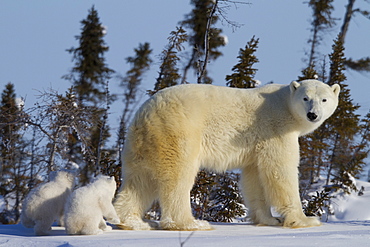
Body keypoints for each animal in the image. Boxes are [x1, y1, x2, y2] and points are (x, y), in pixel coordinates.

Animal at [114, 80, 340, 231]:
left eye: (324, 99)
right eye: (305, 98)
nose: (313, 114)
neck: (284, 104)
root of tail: (147, 113)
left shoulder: (256, 143)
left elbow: (254, 178)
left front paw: (269, 219)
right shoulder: (276, 130)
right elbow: (280, 171)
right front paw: (305, 220)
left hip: (142, 143)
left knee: (139, 181)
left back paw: (132, 222)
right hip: (179, 131)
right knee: (177, 177)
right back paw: (191, 223)